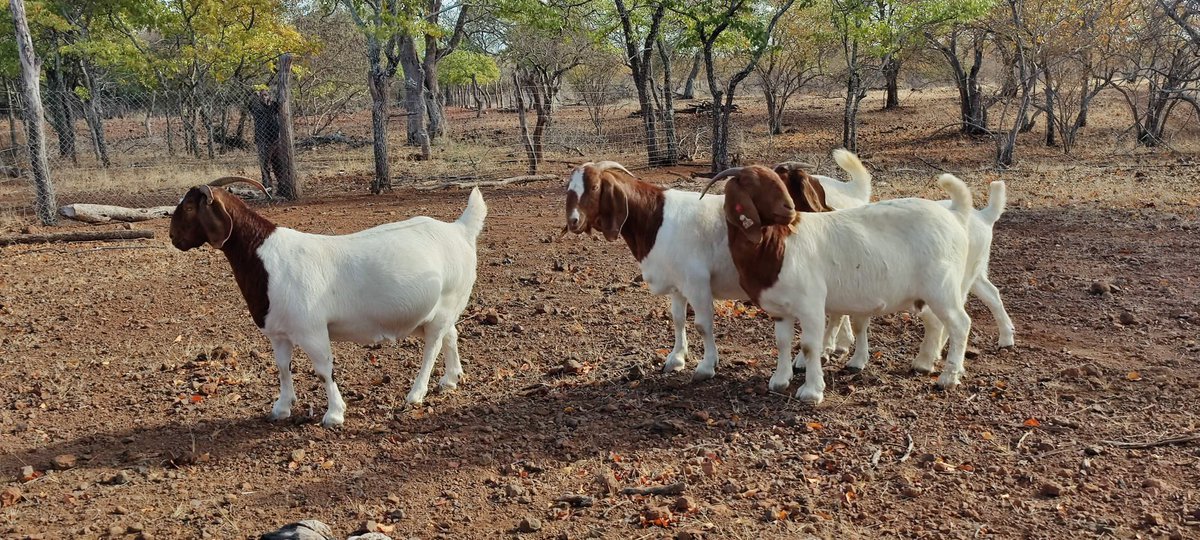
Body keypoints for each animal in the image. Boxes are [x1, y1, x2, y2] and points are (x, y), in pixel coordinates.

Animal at [170, 177, 486, 427]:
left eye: (189, 207)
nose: (173, 238)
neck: (266, 258)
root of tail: (460, 230)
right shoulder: (279, 333)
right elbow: (283, 367)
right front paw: (281, 408)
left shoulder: (311, 330)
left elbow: (324, 370)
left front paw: (334, 414)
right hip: (441, 309)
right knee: (451, 334)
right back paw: (450, 380)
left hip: (445, 303)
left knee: (433, 346)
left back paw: (416, 394)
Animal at [563, 154, 869, 380]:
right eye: (570, 190)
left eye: (594, 187)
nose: (574, 221)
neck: (656, 217)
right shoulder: (677, 283)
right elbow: (677, 319)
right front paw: (676, 358)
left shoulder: (697, 282)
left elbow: (702, 324)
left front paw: (706, 366)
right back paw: (840, 345)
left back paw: (824, 351)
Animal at [702, 167, 974, 404]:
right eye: (751, 183)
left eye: (780, 182)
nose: (789, 208)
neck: (779, 244)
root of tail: (956, 218)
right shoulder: (779, 309)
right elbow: (782, 342)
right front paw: (779, 380)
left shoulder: (811, 304)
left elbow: (810, 346)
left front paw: (811, 391)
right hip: (925, 294)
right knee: (936, 323)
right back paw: (924, 364)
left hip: (942, 288)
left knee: (960, 324)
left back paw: (948, 378)